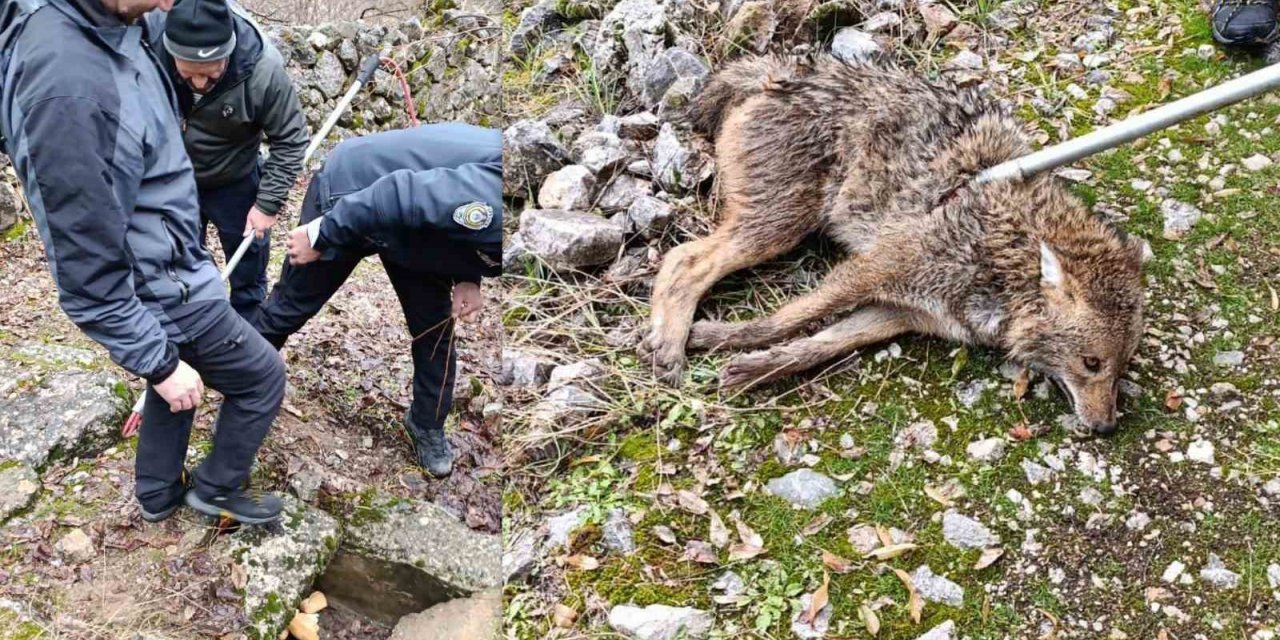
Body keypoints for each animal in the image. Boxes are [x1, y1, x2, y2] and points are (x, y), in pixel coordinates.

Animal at [640, 55, 1152, 435]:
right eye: (1091, 363)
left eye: (1121, 369)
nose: (1107, 428)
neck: (1003, 253)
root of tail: (781, 74)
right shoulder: (870, 270)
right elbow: (789, 319)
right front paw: (727, 342)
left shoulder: (900, 313)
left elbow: (819, 345)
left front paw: (751, 365)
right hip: (779, 228)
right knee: (682, 261)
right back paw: (669, 346)